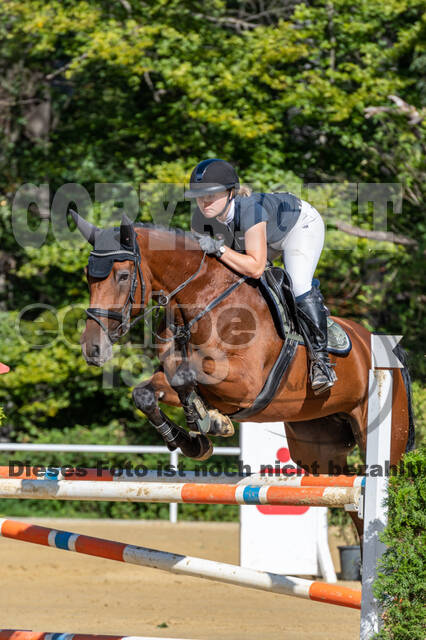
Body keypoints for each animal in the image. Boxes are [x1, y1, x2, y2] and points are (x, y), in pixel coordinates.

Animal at [72, 211, 415, 543]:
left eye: (123, 276)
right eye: (88, 276)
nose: (93, 348)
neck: (204, 301)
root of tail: (389, 350)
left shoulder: (245, 383)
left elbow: (185, 376)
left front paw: (208, 421)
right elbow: (148, 392)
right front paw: (196, 438)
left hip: (382, 434)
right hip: (318, 446)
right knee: (350, 500)